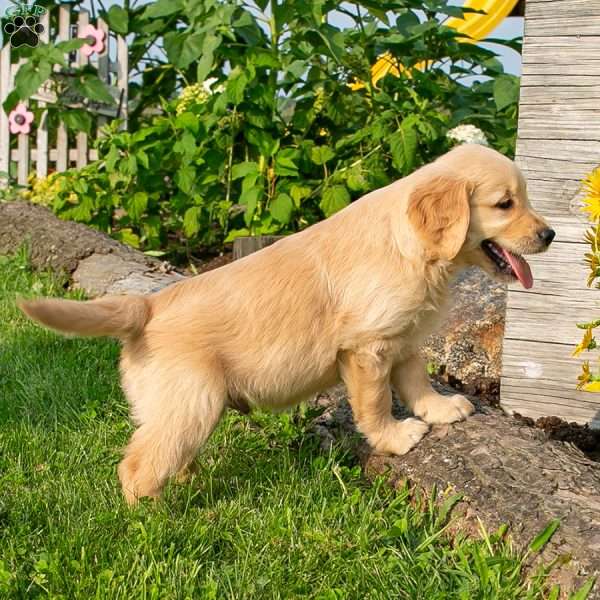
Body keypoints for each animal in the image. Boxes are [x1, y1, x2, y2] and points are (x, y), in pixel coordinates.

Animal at [18, 143, 552, 504]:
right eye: (505, 204)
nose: (549, 234)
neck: (413, 246)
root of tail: (146, 307)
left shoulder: (402, 338)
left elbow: (416, 381)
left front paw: (439, 410)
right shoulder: (368, 347)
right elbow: (376, 401)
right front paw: (394, 438)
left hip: (178, 409)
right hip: (192, 402)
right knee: (137, 467)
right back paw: (157, 518)